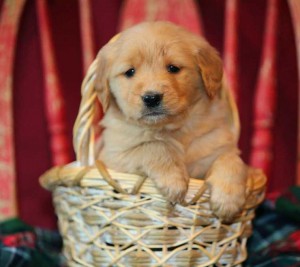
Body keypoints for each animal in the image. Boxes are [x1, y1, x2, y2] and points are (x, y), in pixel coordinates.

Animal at [95, 21, 246, 222]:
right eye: (130, 72)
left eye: (173, 68)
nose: (151, 98)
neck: (173, 129)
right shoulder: (112, 156)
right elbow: (154, 146)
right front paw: (174, 180)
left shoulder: (216, 146)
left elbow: (232, 160)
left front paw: (228, 199)